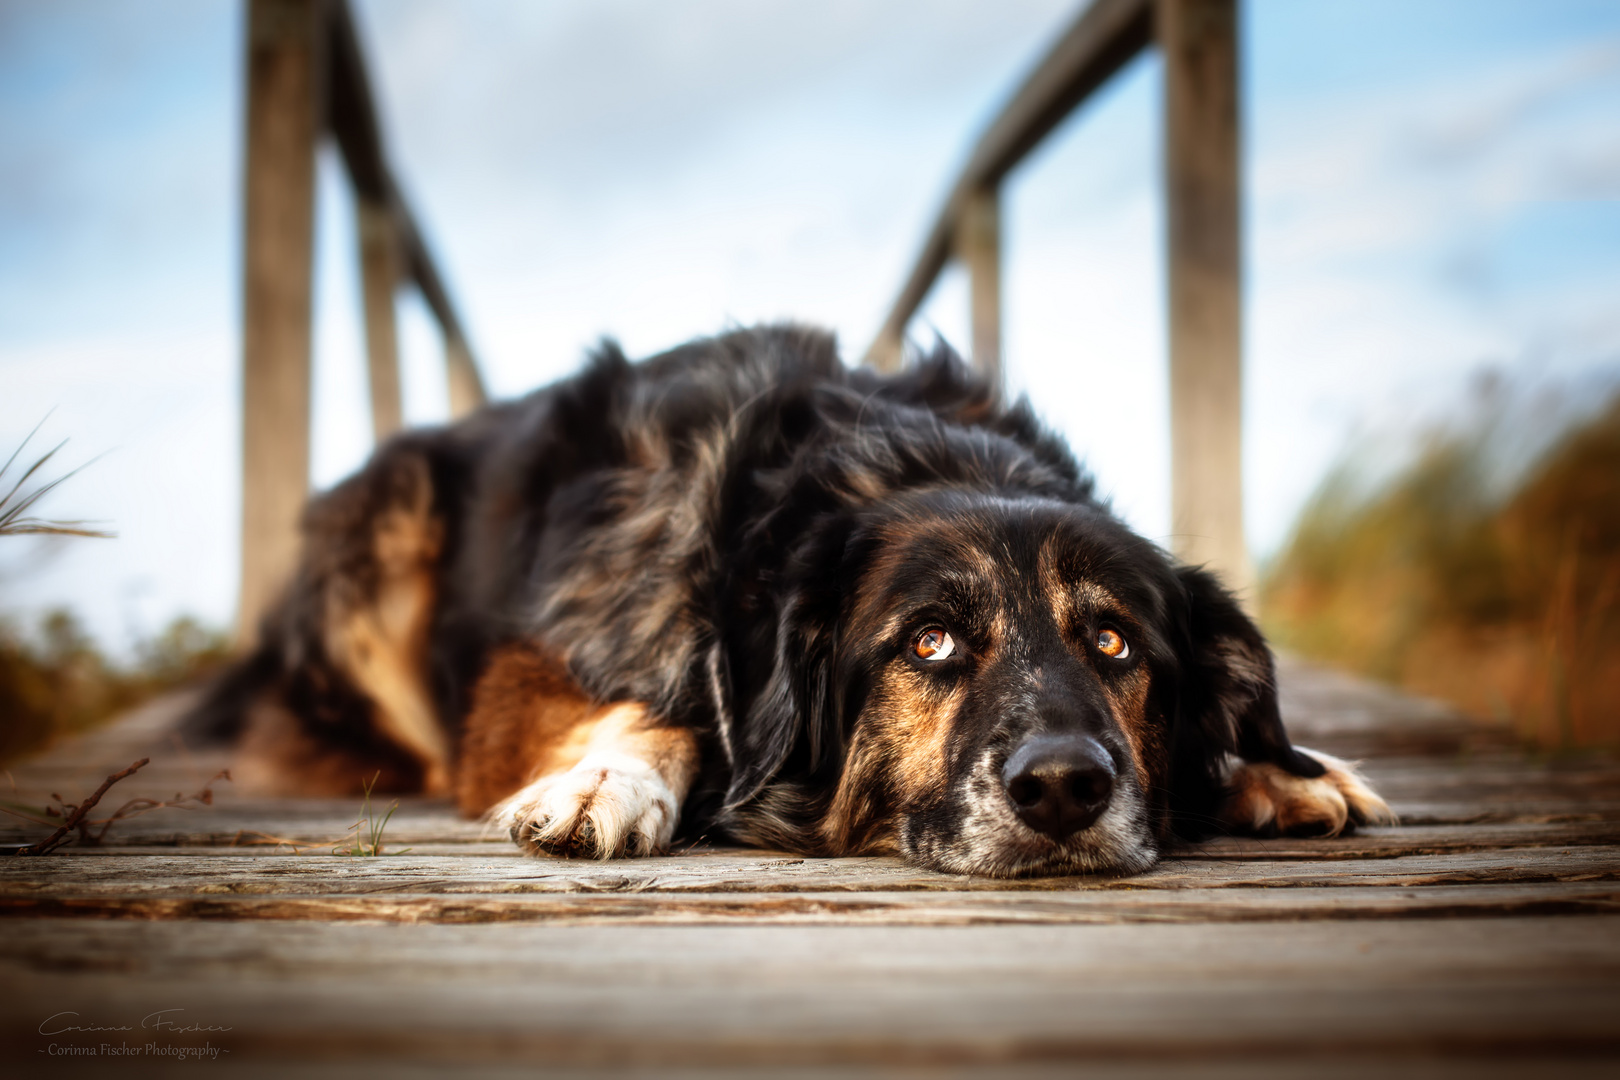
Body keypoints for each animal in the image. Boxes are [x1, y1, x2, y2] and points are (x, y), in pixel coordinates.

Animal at [183, 325, 1386, 874]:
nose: (1062, 789)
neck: (883, 464)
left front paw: (1281, 768)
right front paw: (608, 780)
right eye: (930, 643)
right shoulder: (522, 681)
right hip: (387, 524)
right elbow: (664, 709)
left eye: (1114, 641)